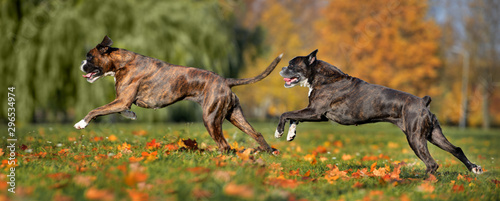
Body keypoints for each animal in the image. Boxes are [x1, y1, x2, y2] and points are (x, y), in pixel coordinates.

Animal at [73, 35, 282, 152]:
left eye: (89, 57)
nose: (81, 64)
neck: (122, 62)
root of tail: (225, 80)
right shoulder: (122, 102)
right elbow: (120, 110)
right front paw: (131, 115)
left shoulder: (121, 100)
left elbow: (96, 110)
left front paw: (81, 123)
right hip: (235, 115)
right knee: (257, 134)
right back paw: (268, 153)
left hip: (211, 119)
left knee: (224, 145)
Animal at [276, 49, 482, 174]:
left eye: (292, 65)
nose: (282, 68)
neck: (321, 76)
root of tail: (422, 101)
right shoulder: (313, 113)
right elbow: (294, 118)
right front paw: (291, 134)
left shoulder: (315, 112)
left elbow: (286, 113)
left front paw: (279, 131)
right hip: (433, 134)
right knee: (456, 149)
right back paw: (474, 168)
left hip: (415, 138)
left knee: (432, 163)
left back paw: (421, 182)